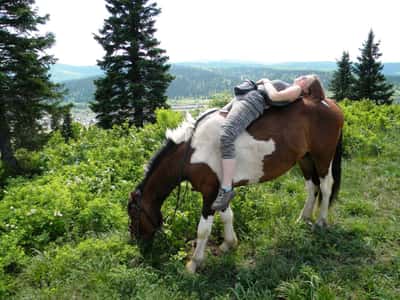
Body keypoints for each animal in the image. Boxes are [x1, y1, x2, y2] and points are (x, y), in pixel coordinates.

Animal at [128, 97, 344, 274]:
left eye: (134, 214)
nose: (137, 244)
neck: (192, 151)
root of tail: (331, 104)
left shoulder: (210, 193)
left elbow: (203, 229)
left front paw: (194, 263)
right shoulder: (222, 190)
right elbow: (227, 216)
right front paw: (229, 244)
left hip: (322, 157)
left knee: (325, 186)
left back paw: (321, 222)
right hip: (305, 158)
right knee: (312, 187)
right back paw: (303, 218)